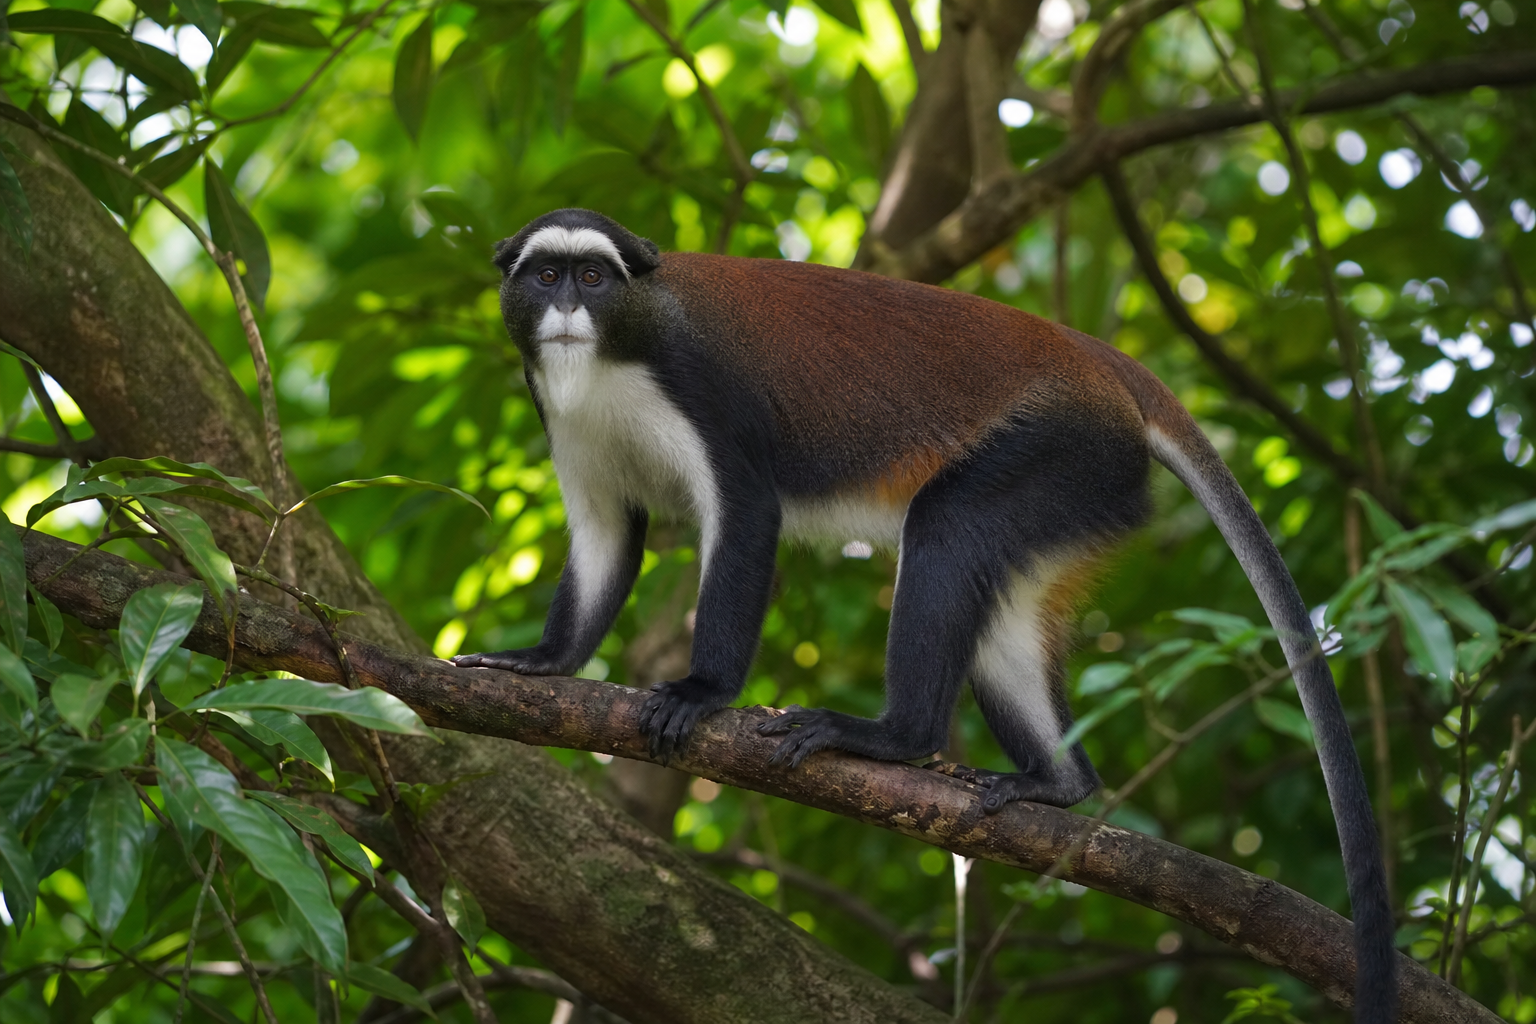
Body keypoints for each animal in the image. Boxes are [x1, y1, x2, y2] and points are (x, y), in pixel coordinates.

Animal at [451, 208, 1393, 1022]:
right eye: (544, 275)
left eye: (593, 278)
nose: (566, 309)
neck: (614, 354)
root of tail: (1095, 361)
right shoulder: (560, 414)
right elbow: (606, 535)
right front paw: (542, 663)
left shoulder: (697, 388)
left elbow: (748, 515)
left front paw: (702, 691)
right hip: (1081, 485)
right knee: (999, 613)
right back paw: (1056, 782)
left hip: (1062, 448)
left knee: (943, 528)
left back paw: (894, 738)